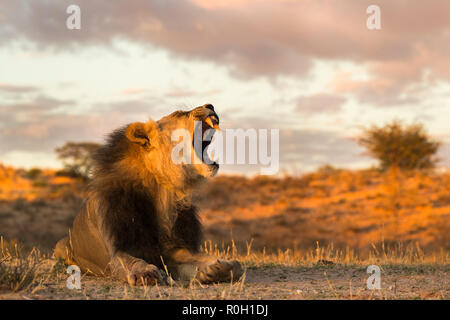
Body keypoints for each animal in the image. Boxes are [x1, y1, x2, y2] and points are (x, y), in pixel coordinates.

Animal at [54, 104, 243, 284]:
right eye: (178, 113)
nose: (210, 105)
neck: (163, 192)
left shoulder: (173, 249)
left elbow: (205, 260)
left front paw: (221, 266)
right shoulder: (117, 251)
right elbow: (131, 261)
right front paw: (145, 272)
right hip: (61, 246)